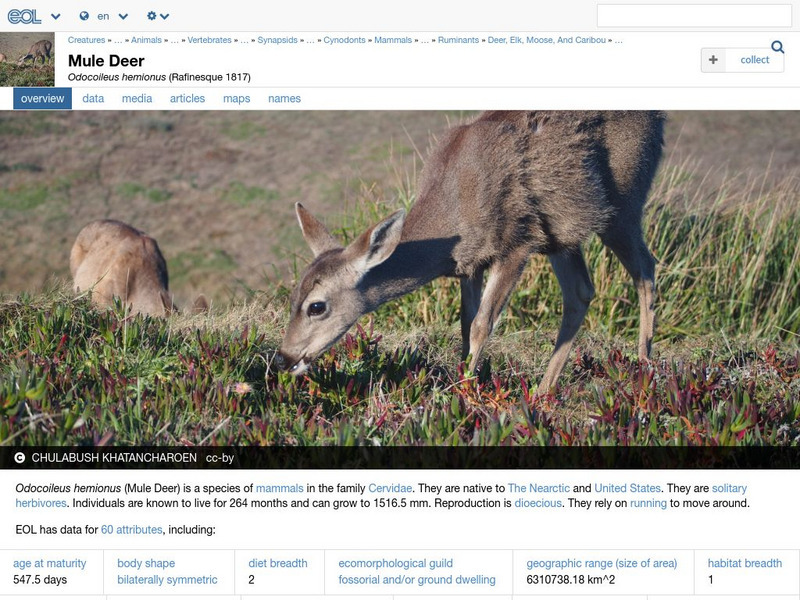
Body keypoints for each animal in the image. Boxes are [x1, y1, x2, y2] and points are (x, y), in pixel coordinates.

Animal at [277, 111, 665, 393]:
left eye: (316, 306)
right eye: (292, 295)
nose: (283, 357)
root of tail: (657, 116)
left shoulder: (517, 244)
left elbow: (481, 325)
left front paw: (462, 394)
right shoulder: (471, 264)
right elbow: (465, 324)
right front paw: (468, 377)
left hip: (624, 202)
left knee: (645, 269)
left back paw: (643, 368)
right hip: (563, 231)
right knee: (581, 292)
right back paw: (543, 391)